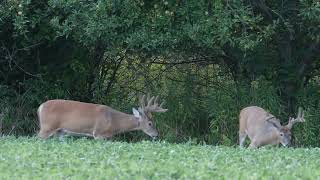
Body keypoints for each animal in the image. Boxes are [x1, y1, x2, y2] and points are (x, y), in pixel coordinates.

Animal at [37, 95, 168, 140]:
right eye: (150, 123)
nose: (156, 135)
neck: (114, 122)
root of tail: (40, 107)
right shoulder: (98, 133)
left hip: (60, 132)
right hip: (47, 126)